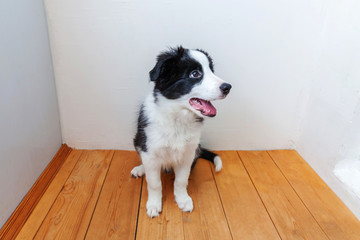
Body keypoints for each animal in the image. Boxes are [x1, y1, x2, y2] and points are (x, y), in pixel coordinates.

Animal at [131, 46, 231, 218]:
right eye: (195, 74)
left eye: (211, 71)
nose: (228, 87)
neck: (177, 118)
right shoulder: (150, 150)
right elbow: (154, 183)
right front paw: (154, 204)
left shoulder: (188, 153)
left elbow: (181, 180)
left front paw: (183, 200)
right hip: (138, 141)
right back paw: (140, 169)